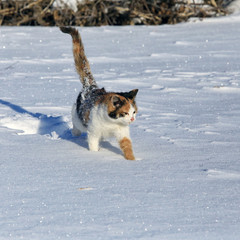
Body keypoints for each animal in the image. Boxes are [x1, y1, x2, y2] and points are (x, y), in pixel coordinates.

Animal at [60, 26, 139, 159]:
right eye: (125, 113)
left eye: (134, 112)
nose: (132, 119)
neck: (112, 123)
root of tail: (90, 87)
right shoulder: (93, 132)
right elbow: (93, 145)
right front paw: (95, 155)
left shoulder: (122, 132)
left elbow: (127, 145)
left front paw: (133, 160)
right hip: (78, 117)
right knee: (76, 124)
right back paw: (75, 132)